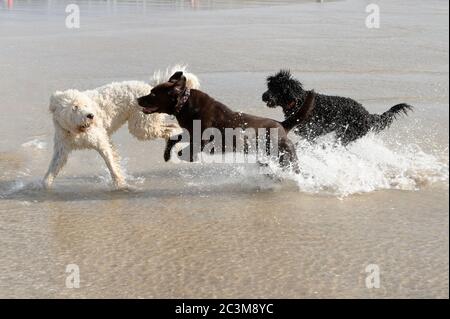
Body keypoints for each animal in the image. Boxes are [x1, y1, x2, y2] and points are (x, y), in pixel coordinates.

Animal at [42, 65, 200, 190]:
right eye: (74, 107)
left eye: (86, 104)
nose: (91, 115)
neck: (77, 130)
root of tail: (149, 88)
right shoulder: (62, 149)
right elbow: (53, 169)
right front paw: (44, 186)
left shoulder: (101, 142)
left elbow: (111, 164)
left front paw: (120, 185)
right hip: (145, 125)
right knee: (169, 127)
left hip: (142, 126)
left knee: (170, 127)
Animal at [135, 72, 314, 172]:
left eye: (153, 94)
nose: (137, 99)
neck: (184, 104)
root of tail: (282, 124)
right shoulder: (190, 133)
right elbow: (173, 139)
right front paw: (167, 155)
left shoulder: (202, 138)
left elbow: (187, 150)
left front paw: (187, 156)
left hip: (285, 152)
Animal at [262, 71, 414, 145]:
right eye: (270, 86)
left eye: (277, 88)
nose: (264, 96)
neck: (299, 102)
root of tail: (367, 115)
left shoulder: (312, 133)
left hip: (348, 134)